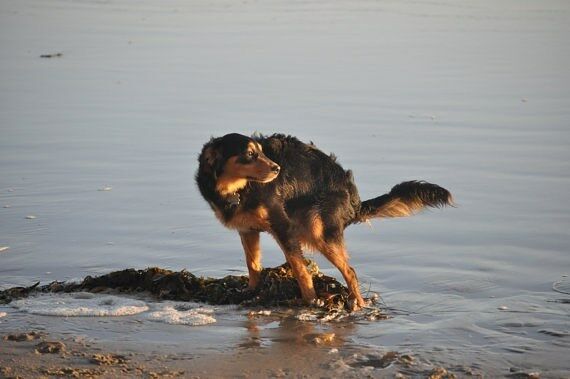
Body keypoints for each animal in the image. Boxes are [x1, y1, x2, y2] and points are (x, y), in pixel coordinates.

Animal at [196, 133, 452, 308]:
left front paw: (310, 301)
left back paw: (358, 305)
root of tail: (354, 198)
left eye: (262, 152)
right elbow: (253, 266)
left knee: (350, 272)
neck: (237, 190)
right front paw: (251, 293)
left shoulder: (283, 227)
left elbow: (300, 270)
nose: (277, 169)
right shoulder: (247, 230)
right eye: (249, 154)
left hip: (318, 230)